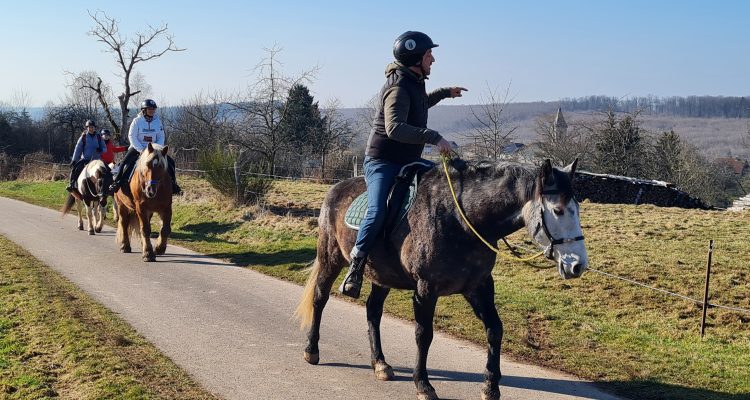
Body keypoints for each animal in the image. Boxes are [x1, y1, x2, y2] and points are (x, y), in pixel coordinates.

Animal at [295, 158, 588, 400]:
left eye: (577, 208)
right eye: (558, 210)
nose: (578, 265)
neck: (463, 219)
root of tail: (335, 189)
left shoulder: (479, 287)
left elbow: (495, 330)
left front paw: (490, 386)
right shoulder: (426, 289)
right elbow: (424, 334)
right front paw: (423, 385)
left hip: (382, 276)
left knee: (373, 312)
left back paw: (380, 363)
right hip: (330, 259)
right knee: (320, 299)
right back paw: (312, 350)